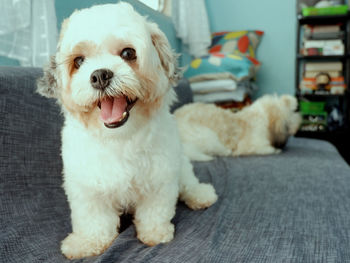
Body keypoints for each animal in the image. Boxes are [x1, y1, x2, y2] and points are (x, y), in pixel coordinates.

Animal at [37, 2, 217, 260]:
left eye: (128, 53)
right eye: (78, 61)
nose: (100, 75)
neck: (119, 138)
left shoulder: (161, 176)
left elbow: (155, 209)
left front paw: (155, 233)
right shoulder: (86, 186)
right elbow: (93, 219)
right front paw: (87, 242)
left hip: (181, 166)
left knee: (188, 183)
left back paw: (200, 194)